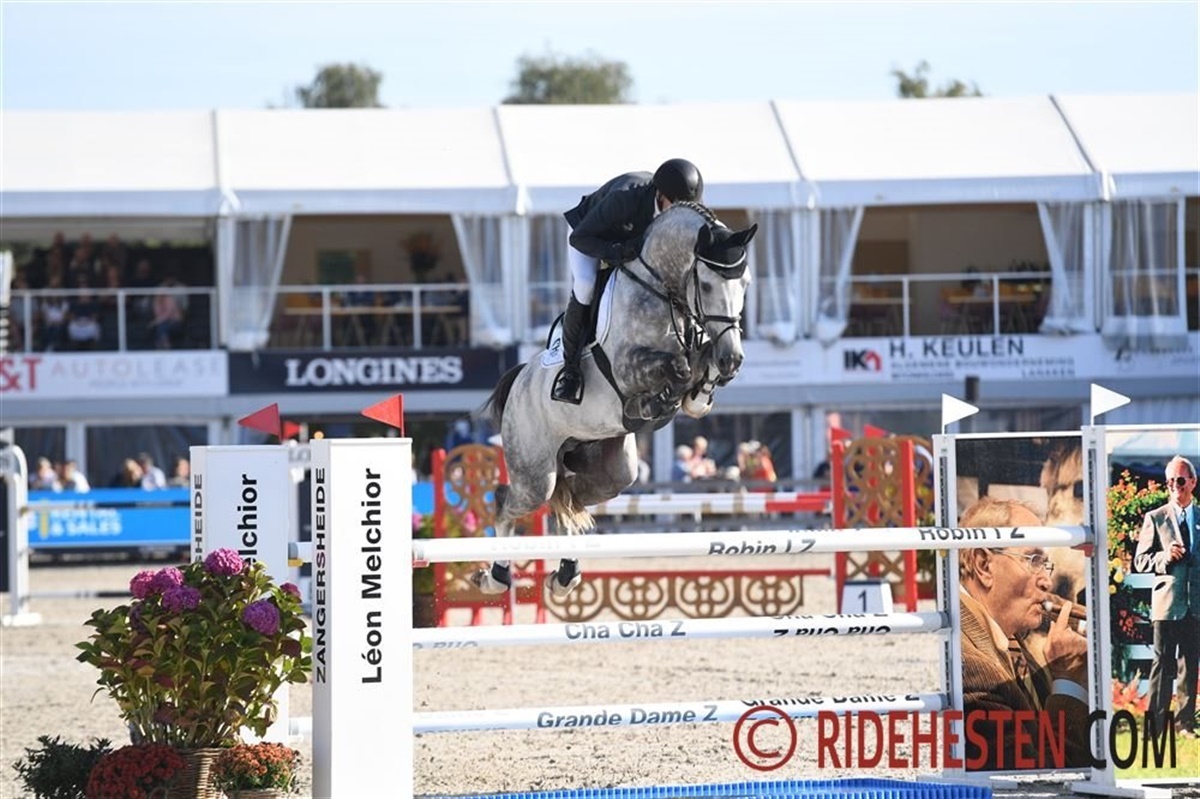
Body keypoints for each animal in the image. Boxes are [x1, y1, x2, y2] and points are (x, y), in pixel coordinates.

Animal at [474, 201, 757, 597]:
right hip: (533, 472)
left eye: (745, 284)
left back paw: (565, 575)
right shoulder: (626, 367)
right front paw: (658, 401)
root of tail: (517, 382)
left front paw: (701, 388)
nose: (733, 358)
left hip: (609, 466)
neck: (663, 291)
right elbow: (676, 367)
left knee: (571, 499)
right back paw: (494, 577)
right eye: (705, 284)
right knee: (509, 500)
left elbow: (697, 372)